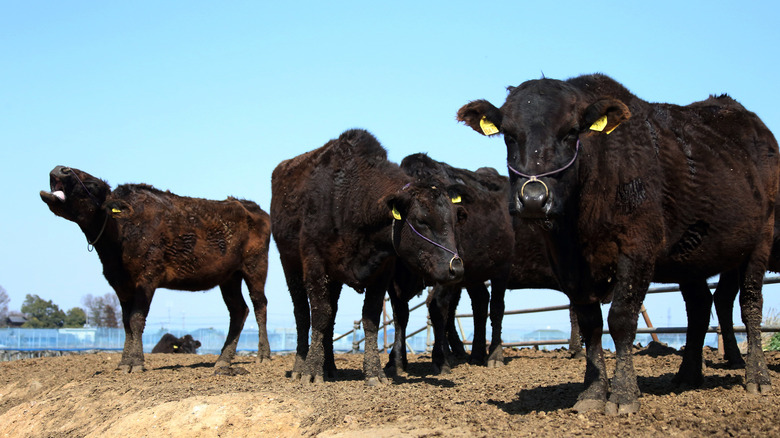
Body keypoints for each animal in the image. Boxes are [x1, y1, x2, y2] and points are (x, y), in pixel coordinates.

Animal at [40, 167, 272, 372]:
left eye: (93, 184)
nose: (61, 169)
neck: (120, 234)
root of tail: (253, 207)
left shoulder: (147, 278)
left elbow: (136, 319)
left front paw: (136, 363)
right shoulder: (120, 284)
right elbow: (126, 323)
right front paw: (124, 363)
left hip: (255, 267)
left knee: (259, 305)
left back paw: (263, 355)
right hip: (229, 277)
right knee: (238, 310)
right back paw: (223, 359)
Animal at [272, 128, 464, 384]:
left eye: (454, 221)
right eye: (421, 220)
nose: (456, 267)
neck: (351, 198)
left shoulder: (382, 270)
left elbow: (369, 318)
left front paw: (374, 373)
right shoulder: (315, 264)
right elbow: (319, 315)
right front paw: (312, 371)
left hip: (334, 278)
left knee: (332, 317)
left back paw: (329, 366)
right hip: (290, 264)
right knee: (302, 314)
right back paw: (300, 366)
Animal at [458, 74, 780, 414]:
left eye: (571, 132)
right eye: (508, 135)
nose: (533, 199)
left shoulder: (637, 250)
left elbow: (621, 319)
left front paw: (624, 394)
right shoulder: (568, 263)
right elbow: (590, 323)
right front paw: (593, 392)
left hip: (759, 242)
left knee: (750, 304)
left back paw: (757, 376)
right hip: (690, 257)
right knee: (700, 307)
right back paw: (687, 376)